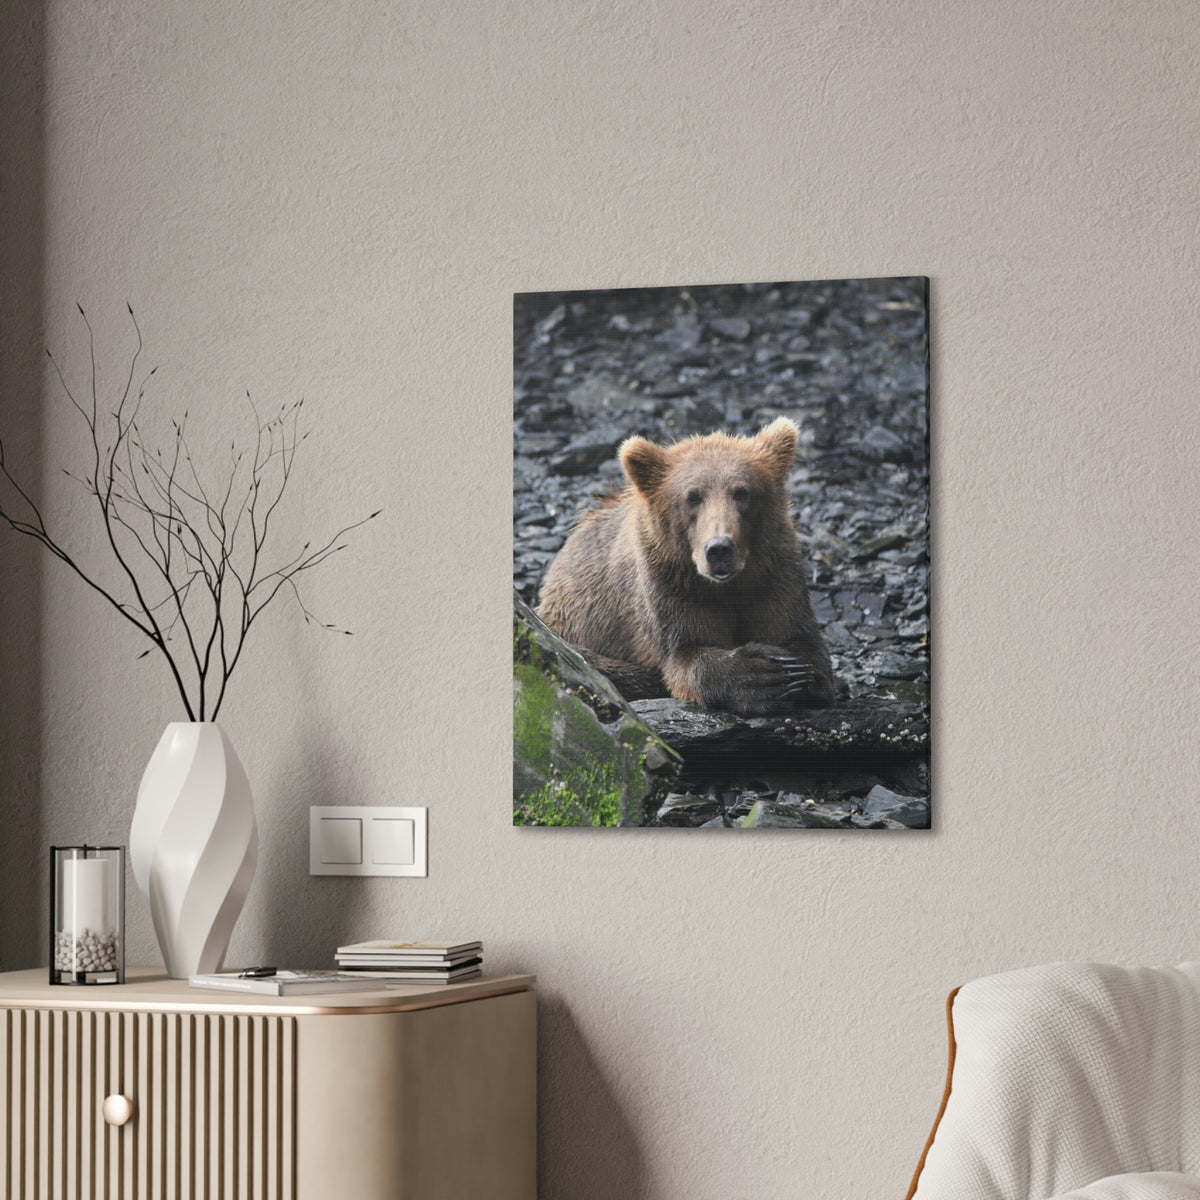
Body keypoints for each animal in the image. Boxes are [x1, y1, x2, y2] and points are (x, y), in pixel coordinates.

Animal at [536, 416, 835, 717]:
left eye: (742, 492)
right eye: (692, 496)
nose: (719, 549)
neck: (727, 585)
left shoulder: (774, 573)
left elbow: (797, 635)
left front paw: (796, 673)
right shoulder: (670, 584)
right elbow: (687, 653)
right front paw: (762, 675)